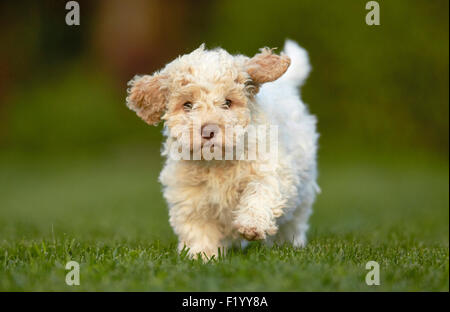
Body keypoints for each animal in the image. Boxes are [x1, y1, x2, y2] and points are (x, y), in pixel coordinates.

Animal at [125, 40, 318, 260]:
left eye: (228, 102)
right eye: (187, 105)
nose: (208, 130)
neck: (218, 161)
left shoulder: (271, 170)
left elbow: (260, 193)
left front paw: (251, 225)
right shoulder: (190, 194)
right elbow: (198, 227)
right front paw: (201, 255)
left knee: (295, 220)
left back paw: (290, 244)